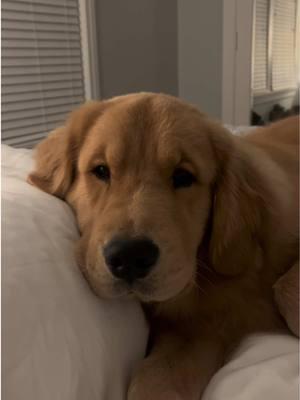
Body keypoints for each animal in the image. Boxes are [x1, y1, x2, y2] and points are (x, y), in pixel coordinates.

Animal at [27, 94, 298, 400]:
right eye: (101, 171)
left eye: (183, 177)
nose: (130, 257)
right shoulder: (194, 332)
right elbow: (157, 379)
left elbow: (286, 288)